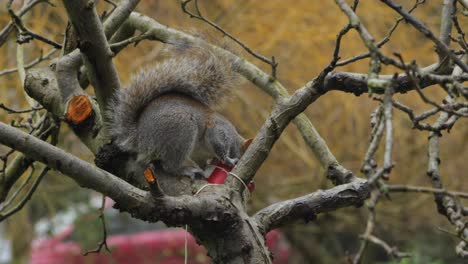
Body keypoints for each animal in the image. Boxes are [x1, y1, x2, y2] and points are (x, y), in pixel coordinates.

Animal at [106, 41, 245, 177]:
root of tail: (141, 138)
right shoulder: (219, 131)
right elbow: (219, 144)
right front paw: (229, 160)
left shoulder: (201, 155)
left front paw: (208, 171)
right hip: (182, 132)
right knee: (169, 166)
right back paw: (185, 170)